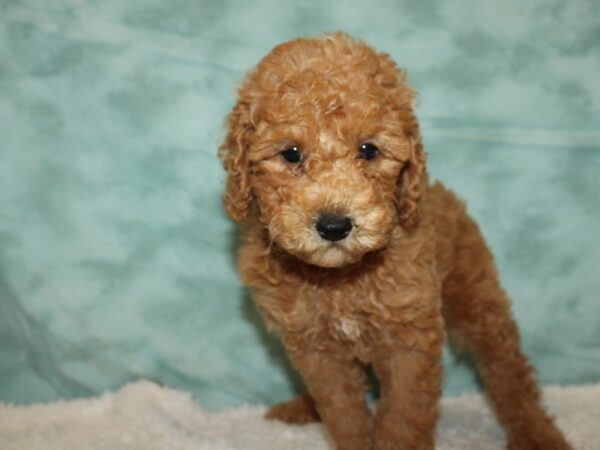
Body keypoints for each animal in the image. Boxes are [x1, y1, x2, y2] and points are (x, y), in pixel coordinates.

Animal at [219, 32, 572, 450]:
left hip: (477, 299)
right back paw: (301, 407)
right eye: (291, 153)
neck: (341, 279)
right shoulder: (317, 349)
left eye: (369, 150)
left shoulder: (410, 337)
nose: (334, 225)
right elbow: (343, 412)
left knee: (508, 373)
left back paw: (538, 433)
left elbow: (404, 415)